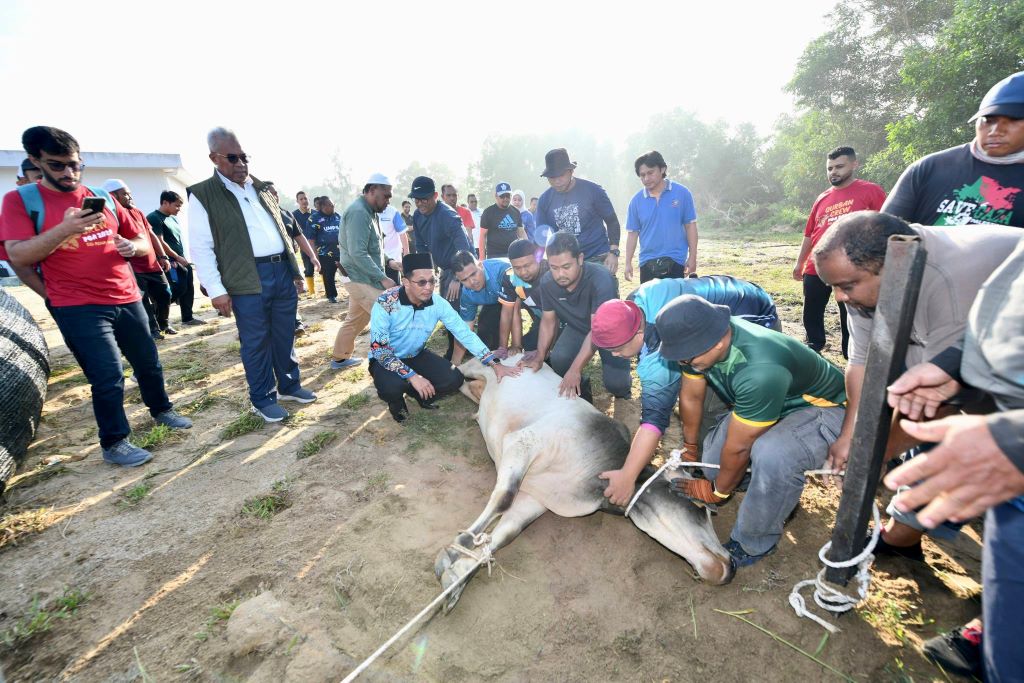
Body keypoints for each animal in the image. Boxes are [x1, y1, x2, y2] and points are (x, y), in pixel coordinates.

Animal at [436, 356, 733, 610]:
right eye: (700, 507)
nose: (730, 566)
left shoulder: (537, 499)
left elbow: (506, 533)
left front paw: (456, 577)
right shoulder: (522, 442)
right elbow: (503, 498)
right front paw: (458, 545)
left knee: (469, 388)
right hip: (479, 366)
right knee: (460, 369)